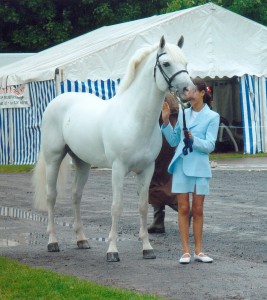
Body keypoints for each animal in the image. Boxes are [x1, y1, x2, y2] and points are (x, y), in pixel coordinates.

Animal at [33, 35, 195, 262]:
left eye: (185, 63)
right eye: (166, 63)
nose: (189, 91)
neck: (134, 118)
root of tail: (57, 100)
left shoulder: (147, 170)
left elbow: (143, 206)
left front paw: (147, 248)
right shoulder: (118, 169)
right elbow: (116, 207)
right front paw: (112, 251)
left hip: (82, 162)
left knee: (76, 196)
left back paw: (81, 240)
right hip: (53, 159)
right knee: (51, 196)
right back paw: (53, 241)